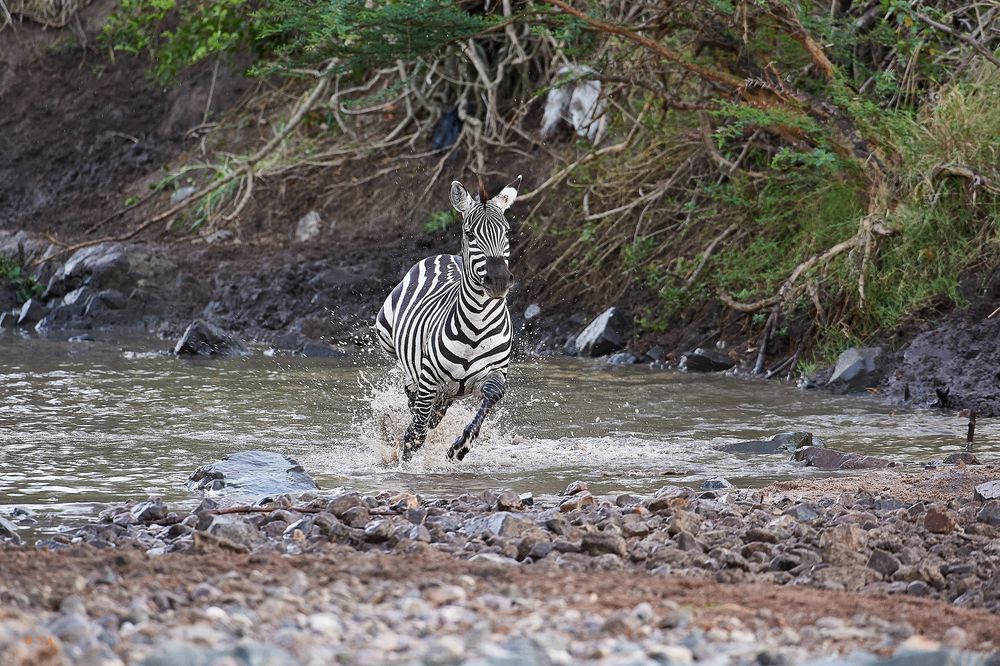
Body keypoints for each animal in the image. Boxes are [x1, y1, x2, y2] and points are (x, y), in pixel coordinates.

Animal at [372, 174, 520, 460]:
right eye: (470, 234)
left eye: (506, 231)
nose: (498, 280)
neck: (477, 325)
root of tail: (442, 256)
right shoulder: (429, 377)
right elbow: (416, 432)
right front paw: (406, 462)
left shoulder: (495, 373)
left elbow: (492, 395)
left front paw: (462, 445)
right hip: (391, 345)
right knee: (415, 401)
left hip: (448, 390)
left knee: (435, 413)